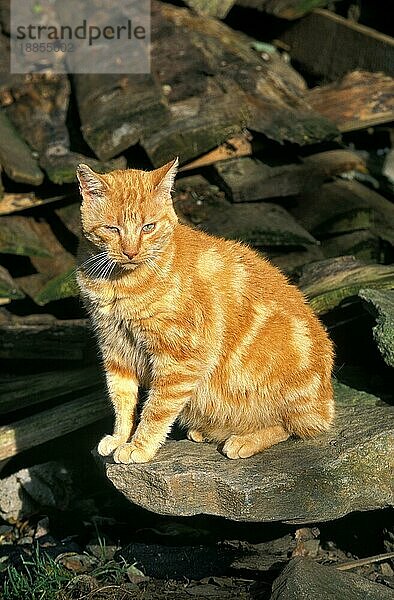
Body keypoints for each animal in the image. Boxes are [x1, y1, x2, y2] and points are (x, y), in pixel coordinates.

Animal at [76, 159, 332, 464]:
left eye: (148, 227)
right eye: (113, 229)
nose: (130, 252)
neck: (119, 282)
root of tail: (326, 401)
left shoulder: (180, 358)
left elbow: (155, 410)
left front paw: (139, 445)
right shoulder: (115, 350)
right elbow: (123, 402)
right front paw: (119, 438)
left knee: (289, 426)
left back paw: (244, 439)